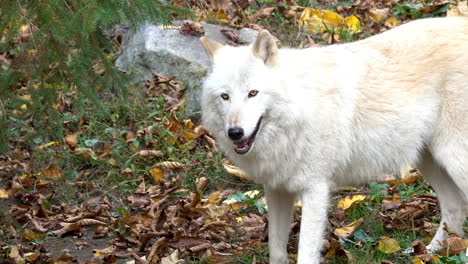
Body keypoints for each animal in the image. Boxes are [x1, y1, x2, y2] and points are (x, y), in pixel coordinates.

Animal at [200, 17, 468, 262]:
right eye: (225, 96)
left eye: (253, 93)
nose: (235, 132)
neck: (300, 108)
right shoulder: (277, 189)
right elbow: (276, 251)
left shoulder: (315, 188)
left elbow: (306, 253)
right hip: (429, 160)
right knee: (454, 206)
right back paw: (431, 252)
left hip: (453, 160)